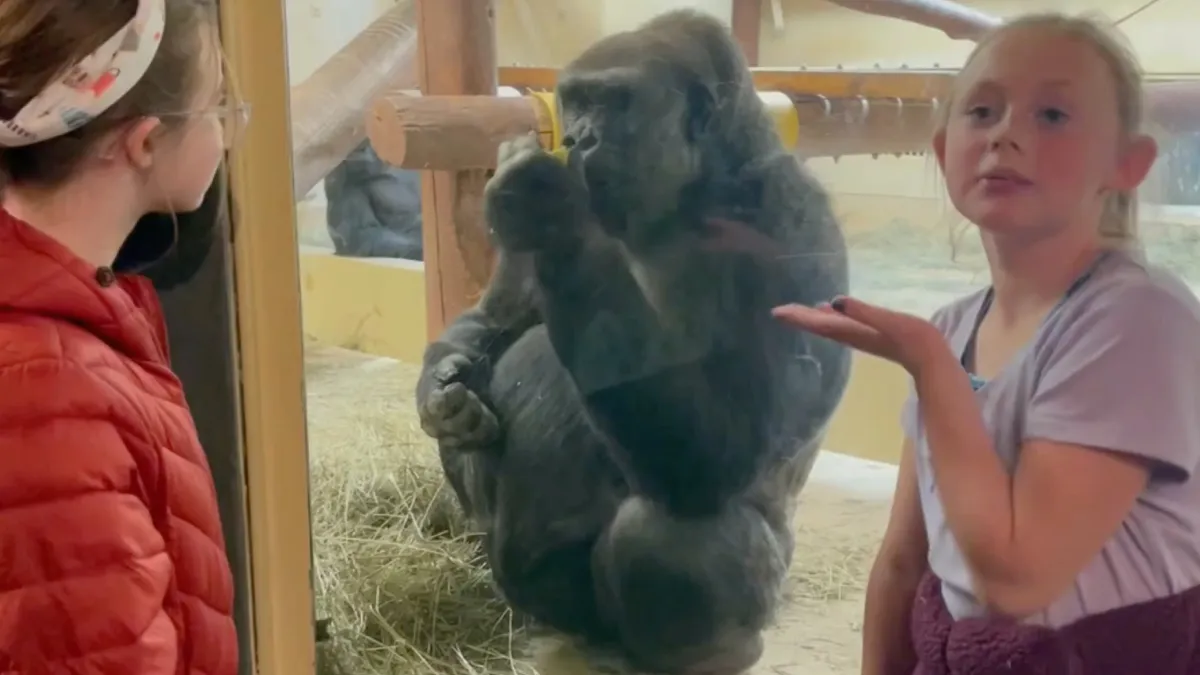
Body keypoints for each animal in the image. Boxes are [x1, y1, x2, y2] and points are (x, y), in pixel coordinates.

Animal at [414, 9, 851, 674]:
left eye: (616, 101)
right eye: (575, 101)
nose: (578, 139)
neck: (704, 183)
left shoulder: (791, 217)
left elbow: (728, 451)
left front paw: (551, 213)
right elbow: (493, 318)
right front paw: (444, 396)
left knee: (664, 533)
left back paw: (711, 653)